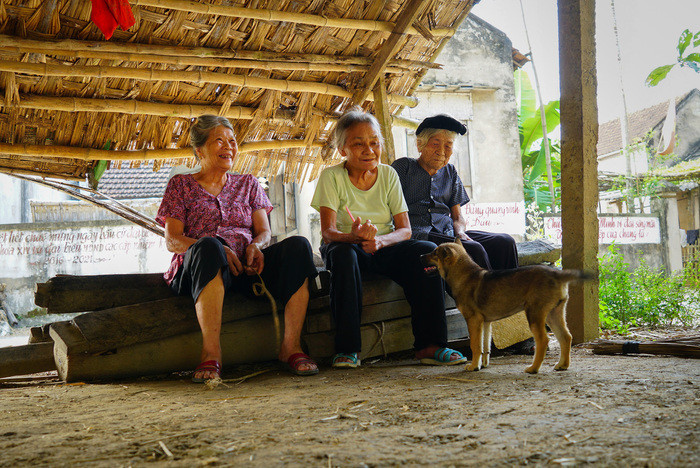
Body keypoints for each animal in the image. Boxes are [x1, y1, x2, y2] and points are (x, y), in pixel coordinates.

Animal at [424, 239, 592, 374]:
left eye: (434, 253)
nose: (420, 257)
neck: (465, 274)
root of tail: (556, 274)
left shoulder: (473, 320)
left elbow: (475, 345)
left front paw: (473, 366)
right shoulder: (485, 322)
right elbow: (485, 346)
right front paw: (482, 364)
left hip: (535, 314)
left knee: (544, 340)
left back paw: (533, 368)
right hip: (554, 313)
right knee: (566, 337)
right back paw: (562, 365)